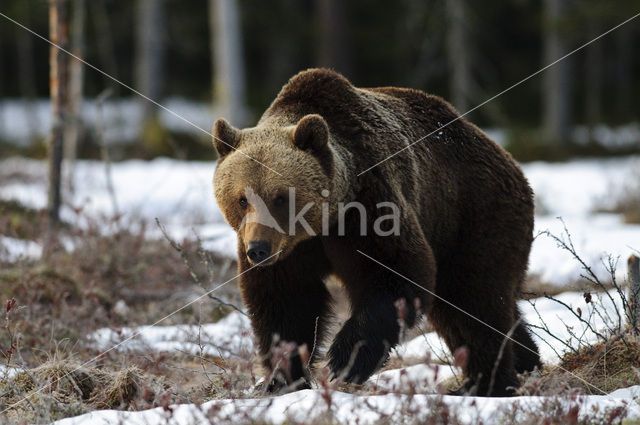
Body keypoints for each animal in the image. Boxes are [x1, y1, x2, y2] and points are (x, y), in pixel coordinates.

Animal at [211, 68, 540, 396]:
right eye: (242, 199)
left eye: (280, 197)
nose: (258, 249)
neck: (324, 221)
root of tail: (508, 159)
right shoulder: (292, 251)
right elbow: (286, 301)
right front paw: (282, 378)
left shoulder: (371, 204)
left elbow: (395, 273)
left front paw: (344, 360)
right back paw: (527, 360)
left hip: (473, 217)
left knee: (473, 302)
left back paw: (488, 382)